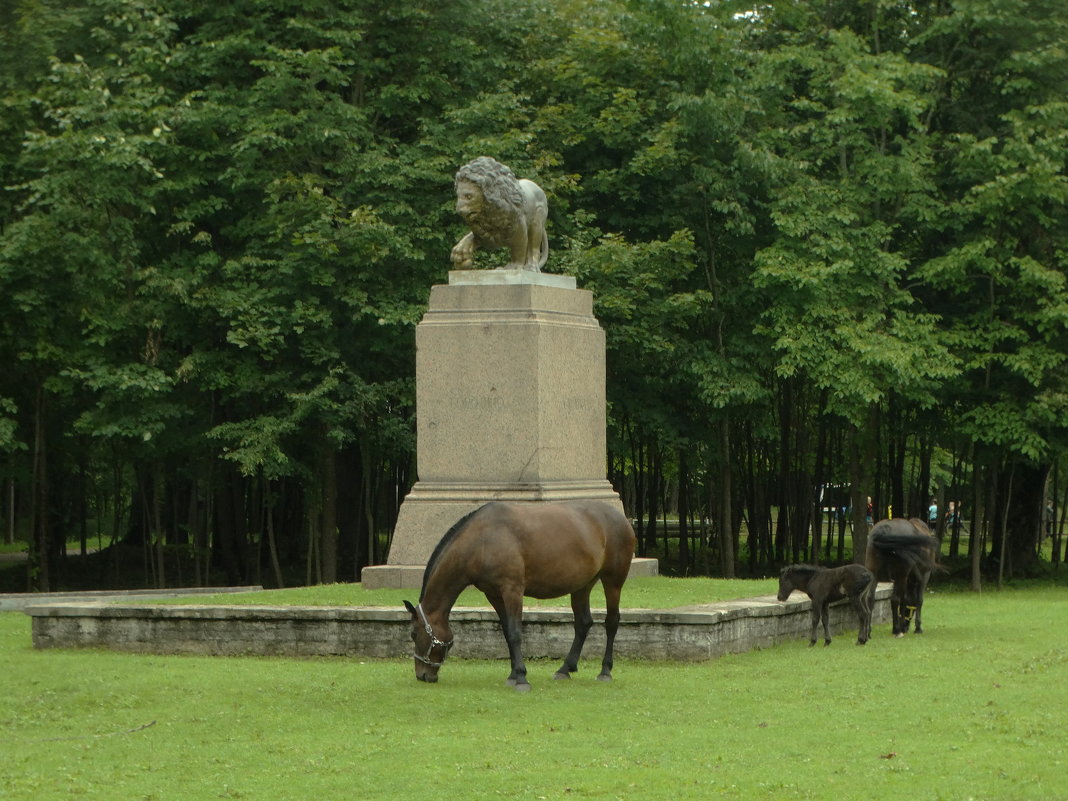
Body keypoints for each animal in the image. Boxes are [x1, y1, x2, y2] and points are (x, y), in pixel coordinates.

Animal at [401, 499, 632, 692]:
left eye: (413, 634)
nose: (422, 675)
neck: (483, 540)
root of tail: (622, 518)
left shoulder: (512, 590)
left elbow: (515, 633)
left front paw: (521, 677)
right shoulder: (494, 595)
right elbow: (506, 632)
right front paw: (513, 674)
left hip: (613, 581)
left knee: (612, 622)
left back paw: (605, 671)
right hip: (582, 585)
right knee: (583, 623)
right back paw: (565, 669)